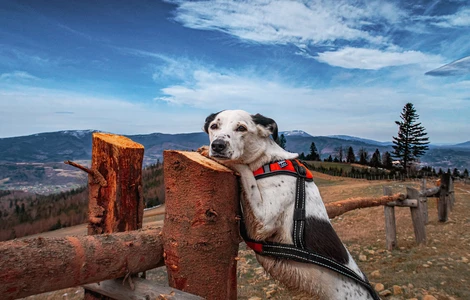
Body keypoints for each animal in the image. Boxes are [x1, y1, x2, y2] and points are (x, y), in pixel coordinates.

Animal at [200, 110, 376, 300]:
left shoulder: (263, 222)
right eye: (214, 126)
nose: (217, 146)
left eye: (241, 128)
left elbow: (243, 169)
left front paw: (214, 155)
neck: (267, 162)